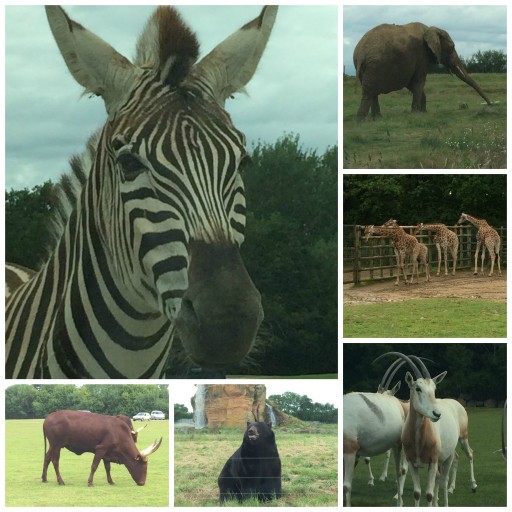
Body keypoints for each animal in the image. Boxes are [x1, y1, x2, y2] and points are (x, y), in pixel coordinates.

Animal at [352, 22, 492, 119]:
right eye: (452, 47)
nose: (491, 104)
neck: (430, 28)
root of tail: (361, 53)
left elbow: (412, 83)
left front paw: (423, 112)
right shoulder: (421, 55)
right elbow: (418, 81)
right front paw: (416, 114)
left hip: (368, 68)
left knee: (372, 92)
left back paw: (377, 118)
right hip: (375, 66)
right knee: (369, 91)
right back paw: (361, 120)